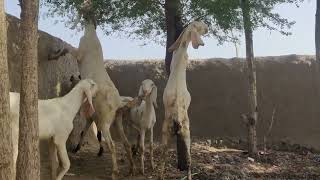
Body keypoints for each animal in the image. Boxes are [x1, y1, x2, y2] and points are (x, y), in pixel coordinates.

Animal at [159, 21, 209, 180]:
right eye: (199, 25)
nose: (207, 28)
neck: (181, 49)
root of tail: (177, 121)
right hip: (187, 135)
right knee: (189, 160)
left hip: (165, 134)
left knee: (163, 156)